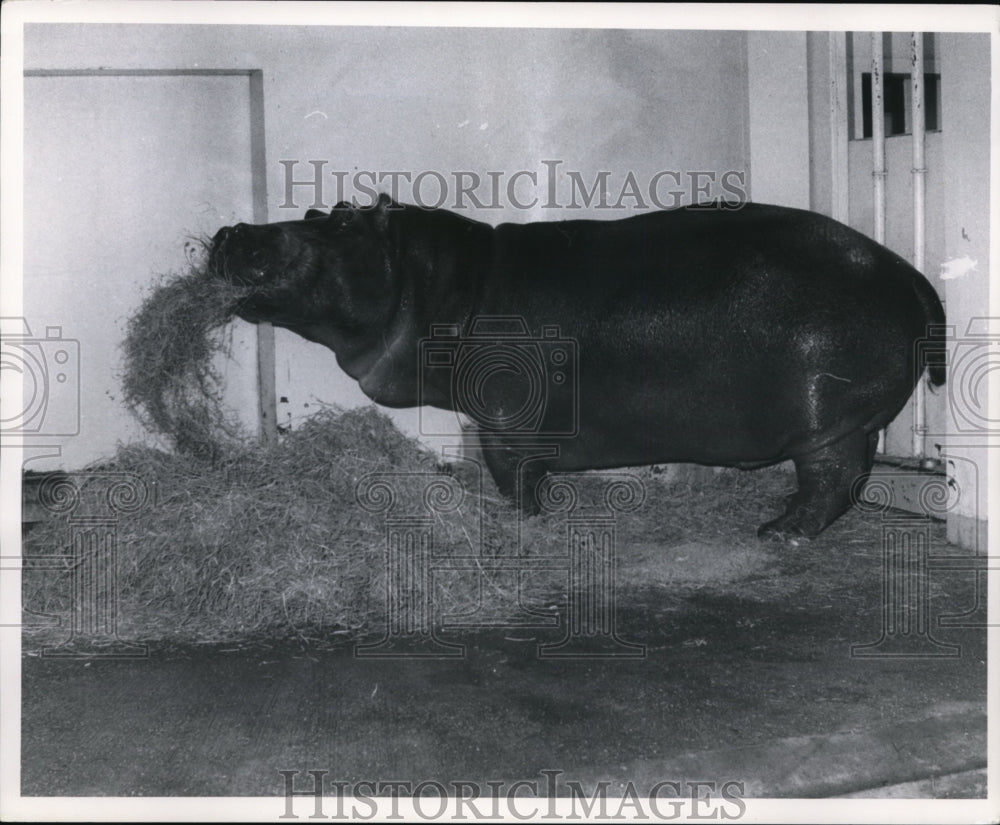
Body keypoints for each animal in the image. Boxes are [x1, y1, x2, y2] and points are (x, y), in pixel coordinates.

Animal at [209, 195, 944, 540]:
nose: (231, 230)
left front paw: (519, 520)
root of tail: (908, 275)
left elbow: (513, 474)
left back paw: (778, 533)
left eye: (336, 224)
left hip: (831, 423)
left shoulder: (505, 421)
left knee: (832, 483)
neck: (445, 282)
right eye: (315, 209)